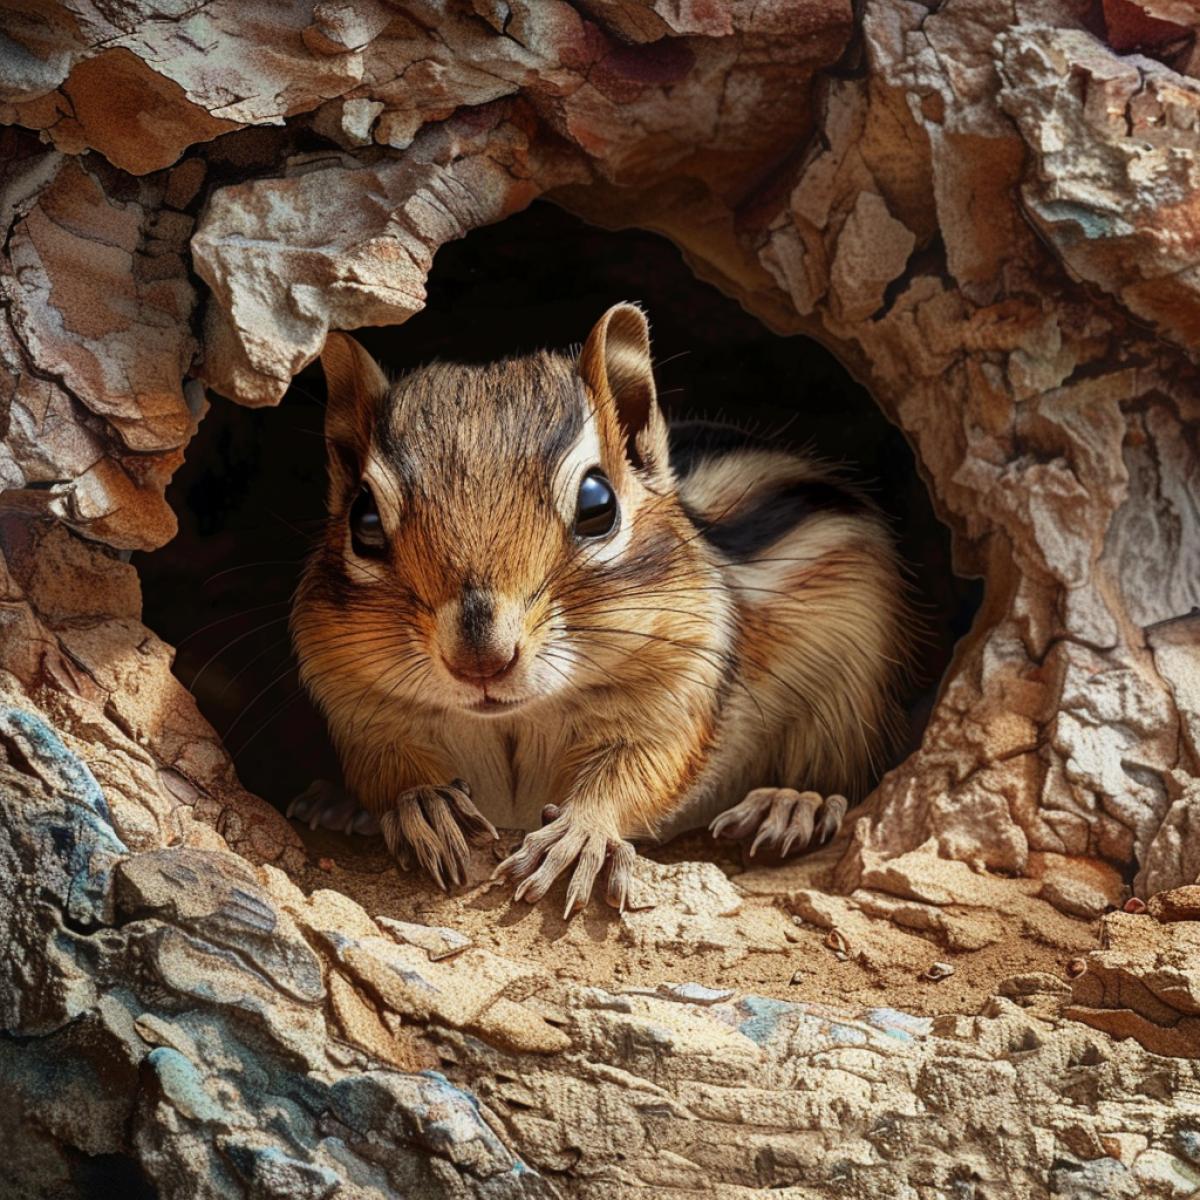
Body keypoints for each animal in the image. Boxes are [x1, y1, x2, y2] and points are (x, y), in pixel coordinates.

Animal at [290, 304, 911, 916]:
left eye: (597, 504)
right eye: (364, 520)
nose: (480, 660)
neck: (517, 719)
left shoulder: (678, 692)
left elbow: (639, 772)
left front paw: (579, 833)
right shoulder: (360, 706)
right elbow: (384, 763)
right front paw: (423, 802)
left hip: (845, 696)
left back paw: (791, 803)